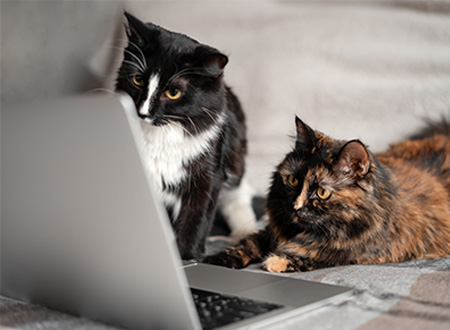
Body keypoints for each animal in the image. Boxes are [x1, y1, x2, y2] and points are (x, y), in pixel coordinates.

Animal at [115, 12, 256, 260]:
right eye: (138, 80)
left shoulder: (207, 175)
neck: (162, 134)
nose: (143, 112)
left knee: (239, 195)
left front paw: (188, 256)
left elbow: (195, 218)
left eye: (173, 92)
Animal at [204, 117, 450, 272]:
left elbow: (318, 256)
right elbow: (248, 243)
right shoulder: (269, 231)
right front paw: (216, 259)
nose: (295, 207)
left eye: (322, 193)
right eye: (293, 181)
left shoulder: (361, 252)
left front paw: (275, 261)